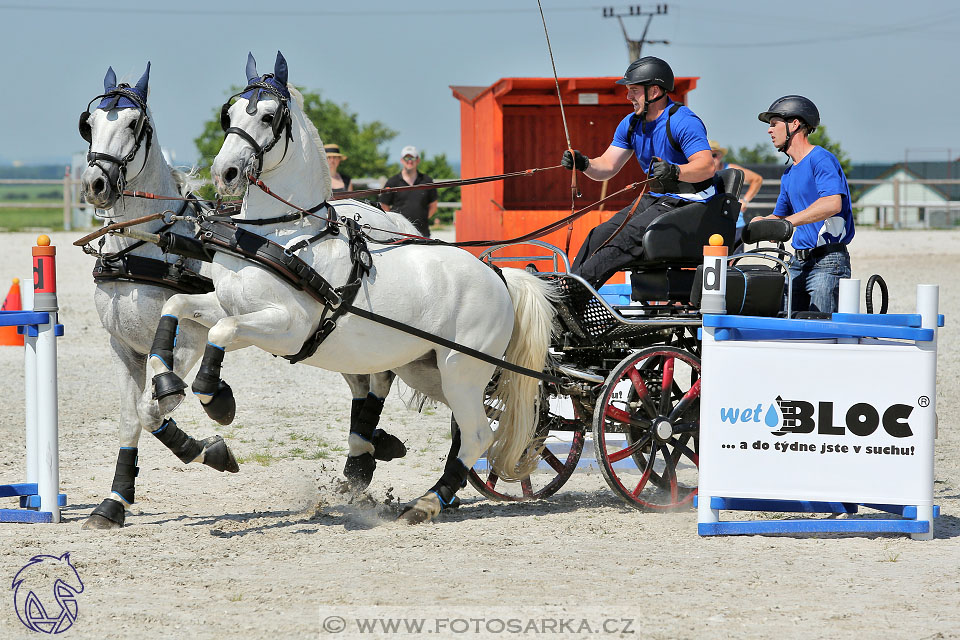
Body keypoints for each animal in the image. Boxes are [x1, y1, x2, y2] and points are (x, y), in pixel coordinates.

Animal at [75, 61, 240, 528]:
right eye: (89, 123)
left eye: (134, 123)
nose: (95, 184)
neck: (141, 247)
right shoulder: (122, 347)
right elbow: (130, 419)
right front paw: (114, 502)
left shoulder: (187, 343)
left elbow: (153, 410)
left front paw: (208, 451)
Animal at [146, 53, 560, 524]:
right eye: (229, 115)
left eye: (269, 117)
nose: (225, 173)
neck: (282, 235)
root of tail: (500, 275)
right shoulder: (233, 307)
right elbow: (178, 305)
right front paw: (166, 383)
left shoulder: (287, 328)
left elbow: (221, 331)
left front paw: (215, 398)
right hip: (427, 367)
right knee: (471, 429)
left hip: (462, 367)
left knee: (477, 434)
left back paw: (427, 502)